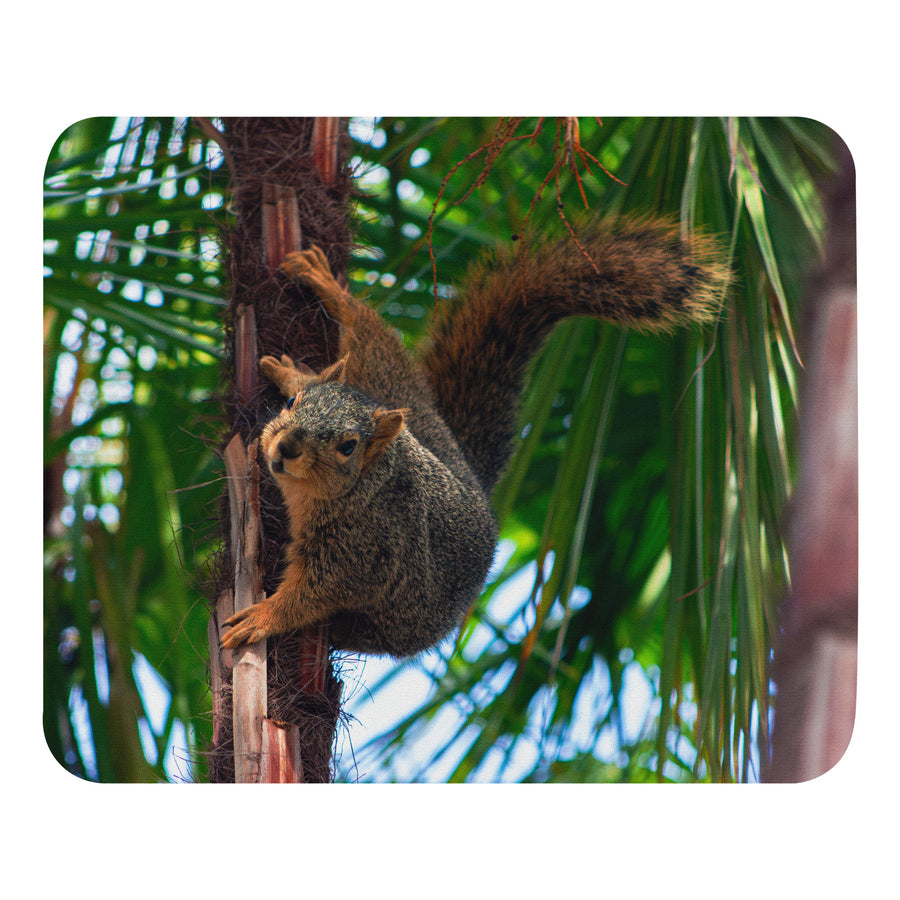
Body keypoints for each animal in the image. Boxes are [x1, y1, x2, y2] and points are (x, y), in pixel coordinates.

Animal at [221, 217, 729, 657]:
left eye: (347, 446)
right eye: (292, 406)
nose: (285, 448)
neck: (364, 482)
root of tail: (472, 483)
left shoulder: (363, 547)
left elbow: (314, 593)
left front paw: (262, 617)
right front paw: (293, 374)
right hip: (398, 395)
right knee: (376, 346)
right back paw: (325, 286)